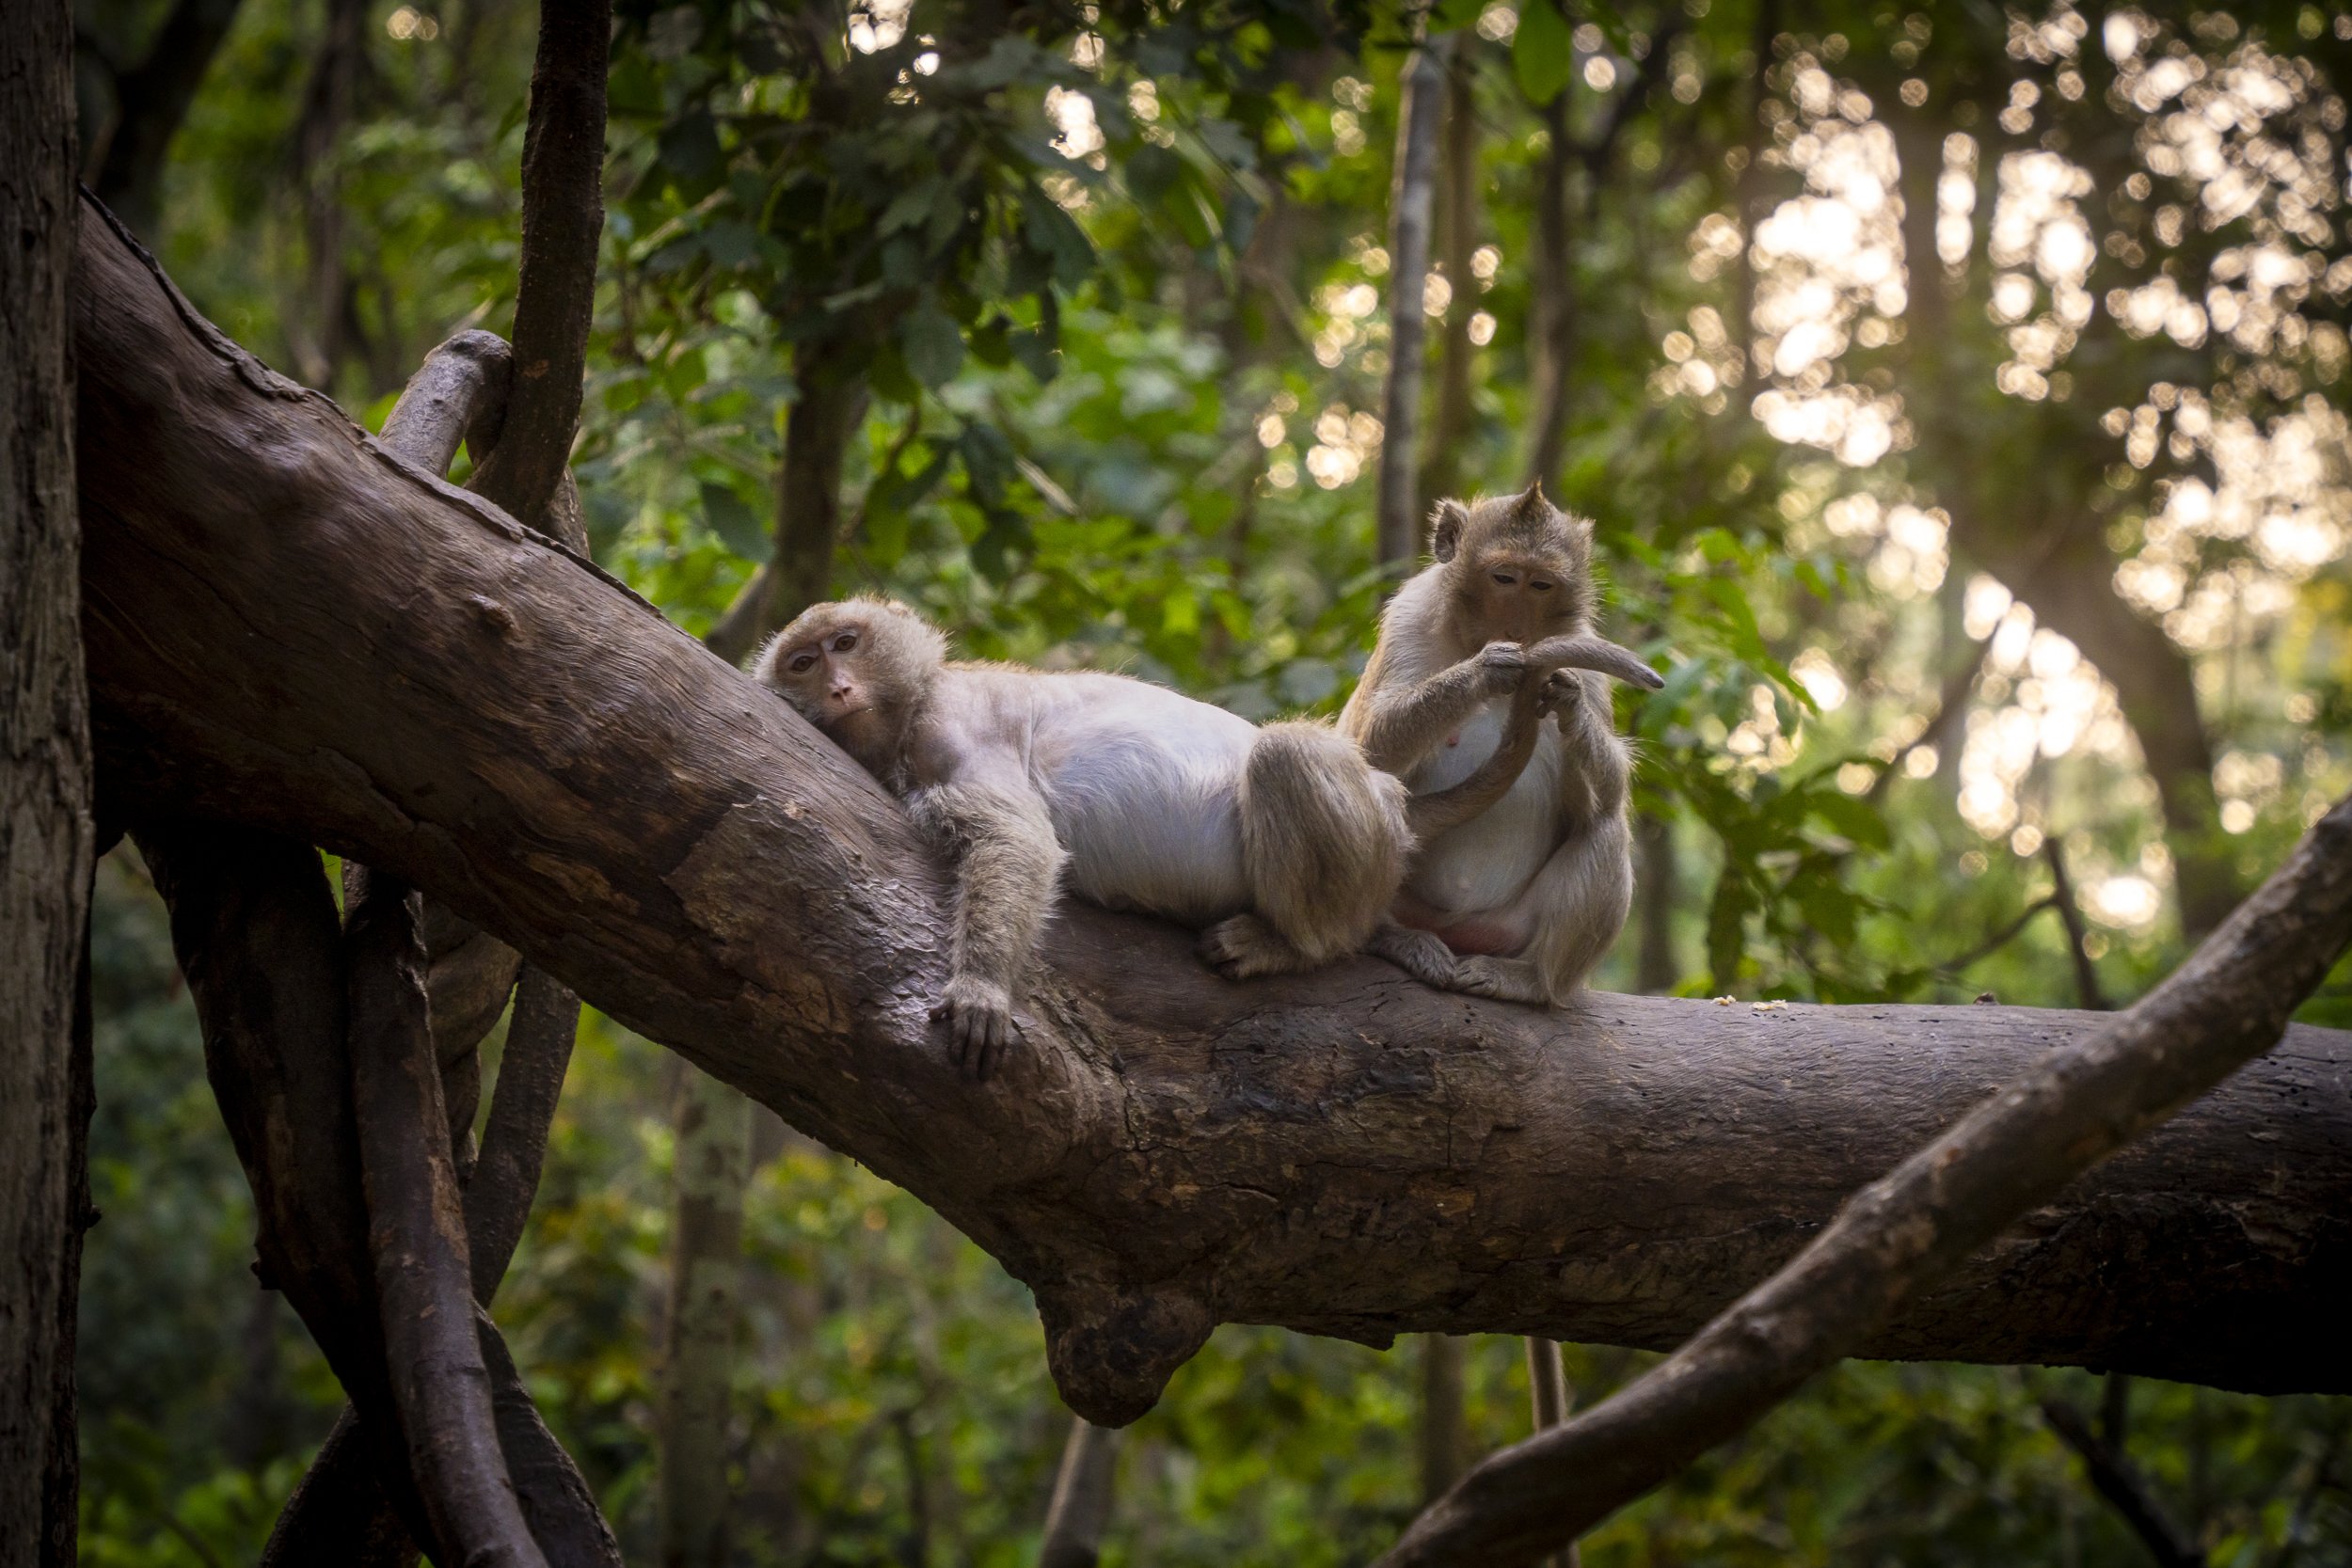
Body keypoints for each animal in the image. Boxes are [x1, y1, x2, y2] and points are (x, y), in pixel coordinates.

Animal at [753, 597, 1646, 1075]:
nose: (837, 685)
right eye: (802, 662)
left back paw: (1302, 943)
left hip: (1366, 841)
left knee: (1284, 758)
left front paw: (981, 986)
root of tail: (1394, 803)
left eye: (846, 643)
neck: (909, 712)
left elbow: (1019, 843)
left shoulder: (952, 731)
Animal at [1341, 484, 1661, 1006]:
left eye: (1541, 586)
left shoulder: (1584, 650)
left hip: (1509, 929)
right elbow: (1371, 746)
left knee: (1604, 825)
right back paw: (1393, 937)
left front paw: (1568, 701)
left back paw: (1531, 980)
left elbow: (1605, 793)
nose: (1516, 630)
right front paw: (1487, 669)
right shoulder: (1409, 616)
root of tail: (1458, 933)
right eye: (1504, 578)